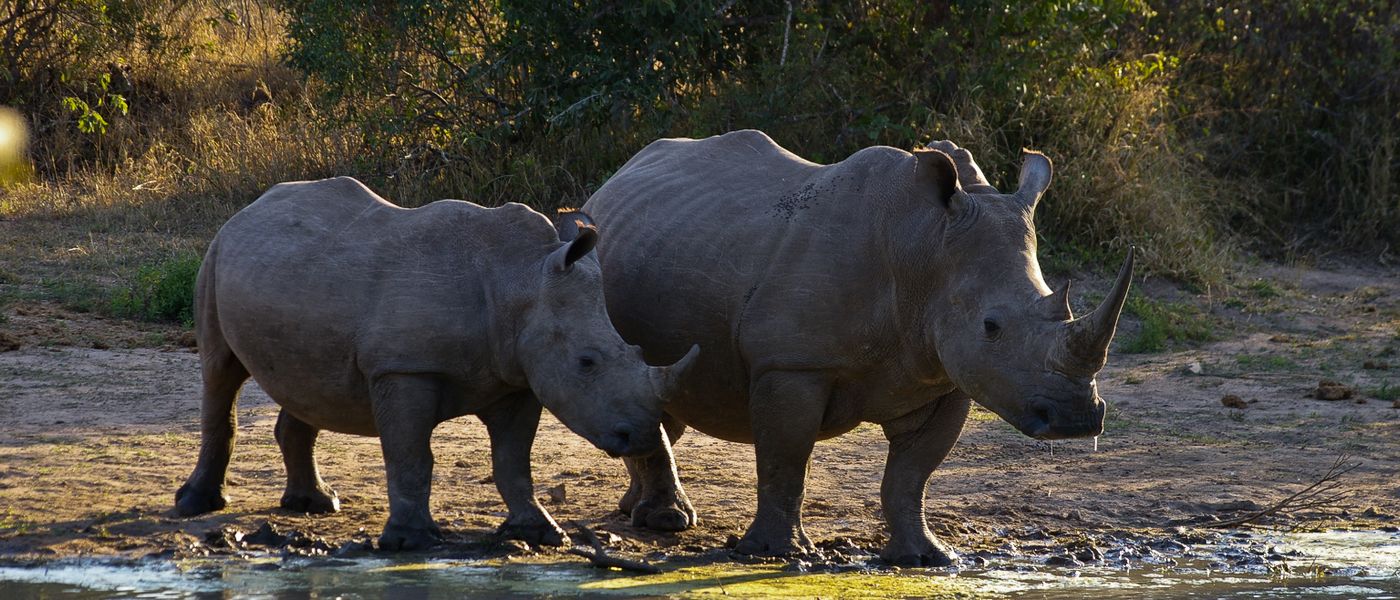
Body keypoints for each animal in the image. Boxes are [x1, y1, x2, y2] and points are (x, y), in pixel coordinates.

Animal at [174, 176, 698, 551]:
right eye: (587, 362)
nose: (642, 435)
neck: (519, 280)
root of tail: (251, 208)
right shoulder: (404, 367)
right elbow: (411, 456)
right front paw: (411, 541)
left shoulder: (518, 377)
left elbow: (514, 461)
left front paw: (540, 533)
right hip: (215, 257)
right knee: (221, 373)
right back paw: (197, 505)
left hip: (291, 275)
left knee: (306, 384)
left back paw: (316, 506)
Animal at [581, 130, 1133, 566]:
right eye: (992, 327)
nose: (1077, 419)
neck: (923, 248)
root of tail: (614, 181)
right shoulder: (792, 364)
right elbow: (785, 460)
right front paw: (775, 554)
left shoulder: (945, 375)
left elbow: (911, 476)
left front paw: (926, 557)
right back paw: (667, 522)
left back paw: (642, 512)